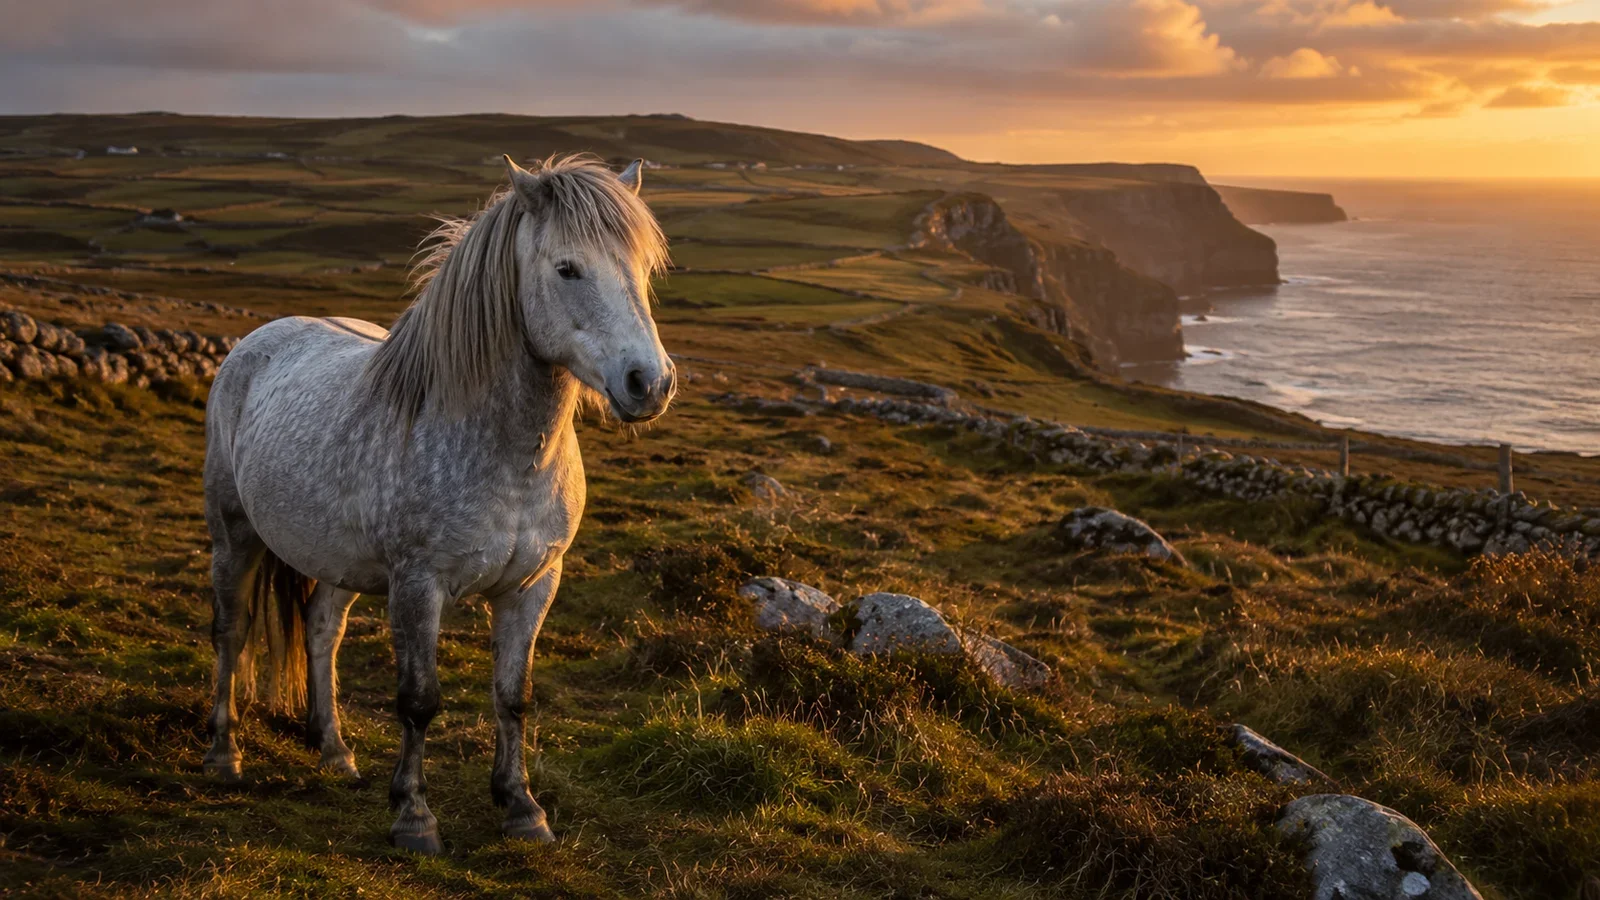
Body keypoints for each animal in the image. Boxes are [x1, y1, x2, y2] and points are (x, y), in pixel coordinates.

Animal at [201, 153, 674, 855]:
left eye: (642, 269)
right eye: (567, 268)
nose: (651, 383)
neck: (507, 454)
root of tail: (261, 337)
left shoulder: (534, 584)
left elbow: (513, 696)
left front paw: (522, 809)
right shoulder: (418, 585)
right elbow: (419, 700)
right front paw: (414, 818)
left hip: (335, 559)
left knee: (321, 630)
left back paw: (334, 751)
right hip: (234, 536)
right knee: (231, 631)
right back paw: (223, 755)